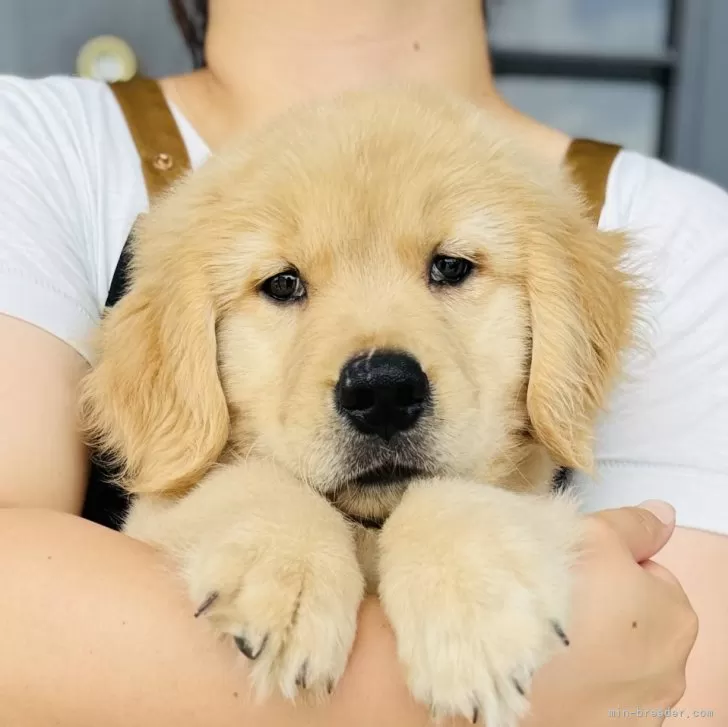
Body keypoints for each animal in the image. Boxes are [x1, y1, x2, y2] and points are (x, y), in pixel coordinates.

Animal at [81, 86, 636, 727]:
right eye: (283, 284)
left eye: (451, 266)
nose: (383, 393)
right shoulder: (150, 521)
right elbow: (244, 479)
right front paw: (288, 579)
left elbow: (452, 491)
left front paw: (472, 617)